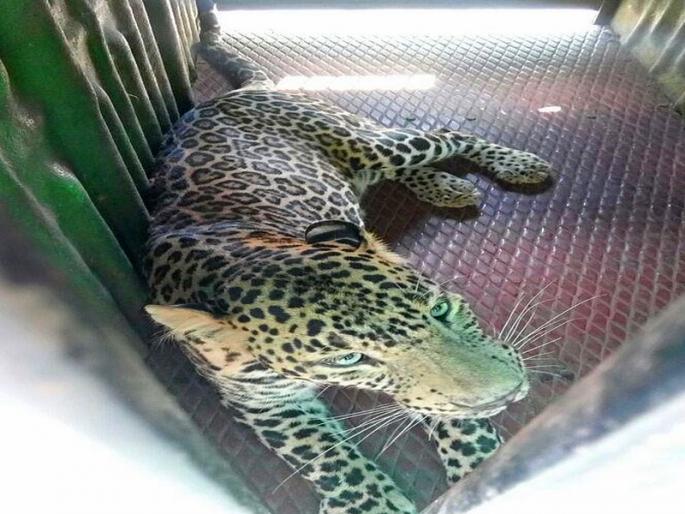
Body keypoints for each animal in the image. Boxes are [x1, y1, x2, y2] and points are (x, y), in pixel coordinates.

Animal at [144, 5, 551, 513]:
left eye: (440, 309)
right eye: (349, 359)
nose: (508, 393)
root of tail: (230, 94)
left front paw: (482, 469)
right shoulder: (261, 402)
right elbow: (321, 453)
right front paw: (369, 501)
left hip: (369, 142)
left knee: (442, 133)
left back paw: (514, 165)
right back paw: (444, 185)